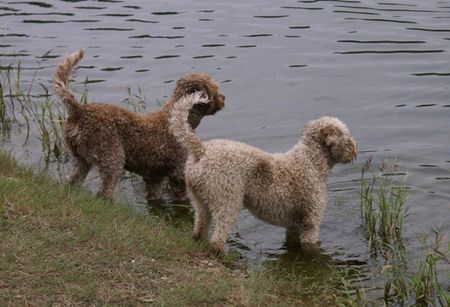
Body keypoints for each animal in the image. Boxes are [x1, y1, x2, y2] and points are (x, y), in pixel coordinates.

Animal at [53, 49, 225, 201]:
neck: (180, 116)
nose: (223, 98)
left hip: (81, 160)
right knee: (103, 193)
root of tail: (79, 111)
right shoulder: (178, 172)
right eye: (215, 88)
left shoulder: (154, 178)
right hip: (112, 158)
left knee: (72, 181)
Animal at [171, 93, 356, 253]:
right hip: (227, 200)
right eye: (346, 135)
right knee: (217, 238)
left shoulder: (293, 225)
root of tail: (201, 150)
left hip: (200, 201)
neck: (310, 162)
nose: (355, 150)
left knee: (199, 229)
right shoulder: (310, 223)